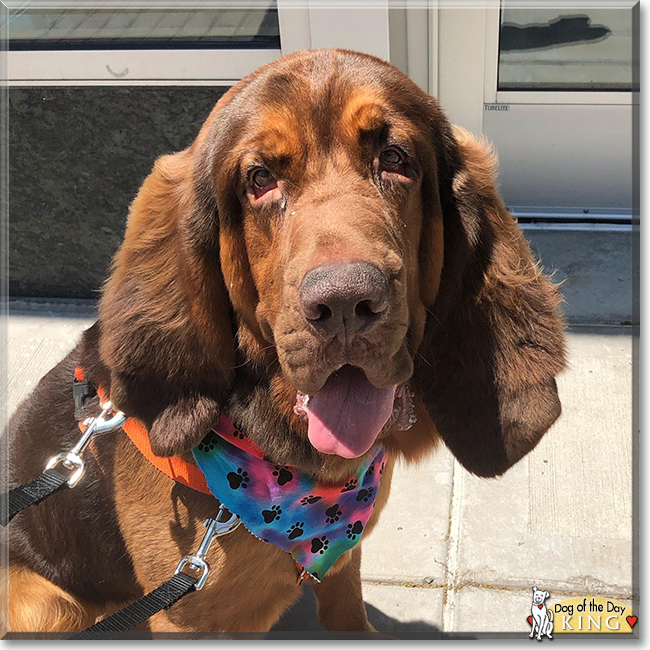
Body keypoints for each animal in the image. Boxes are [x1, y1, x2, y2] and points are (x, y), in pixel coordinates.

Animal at [2, 49, 564, 632]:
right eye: (260, 178)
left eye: (394, 158)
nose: (345, 304)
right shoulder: (184, 621)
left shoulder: (342, 561)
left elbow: (347, 610)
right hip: (43, 604)